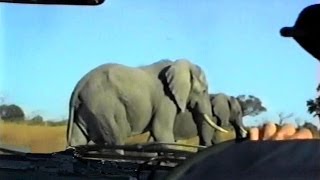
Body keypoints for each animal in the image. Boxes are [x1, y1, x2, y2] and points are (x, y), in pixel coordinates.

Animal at [65, 58, 228, 154]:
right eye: (204, 90)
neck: (177, 65)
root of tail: (78, 86)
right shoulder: (165, 98)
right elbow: (161, 132)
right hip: (103, 107)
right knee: (116, 138)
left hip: (86, 108)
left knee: (78, 140)